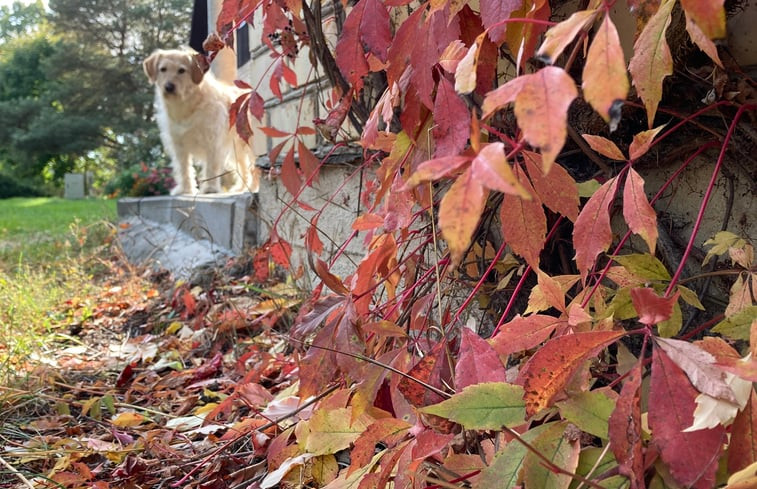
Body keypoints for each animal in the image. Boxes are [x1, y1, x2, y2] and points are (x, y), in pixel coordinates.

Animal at [142, 48, 260, 194]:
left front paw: (210, 188)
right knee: (244, 167)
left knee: (254, 166)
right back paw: (241, 188)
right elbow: (184, 168)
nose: (169, 87)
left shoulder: (212, 142)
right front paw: (185, 189)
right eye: (163, 69)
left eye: (181, 70)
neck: (186, 105)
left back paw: (254, 187)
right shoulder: (179, 144)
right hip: (236, 149)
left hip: (249, 144)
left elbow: (211, 167)